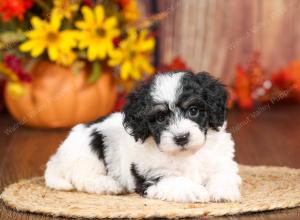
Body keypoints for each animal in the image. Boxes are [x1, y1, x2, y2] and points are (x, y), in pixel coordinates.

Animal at [44, 71, 241, 203]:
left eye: (193, 111)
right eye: (160, 118)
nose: (181, 137)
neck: (186, 155)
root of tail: (58, 155)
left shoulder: (221, 160)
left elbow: (223, 173)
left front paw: (223, 191)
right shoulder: (151, 174)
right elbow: (173, 180)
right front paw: (193, 191)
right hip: (88, 153)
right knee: (82, 178)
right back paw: (107, 185)